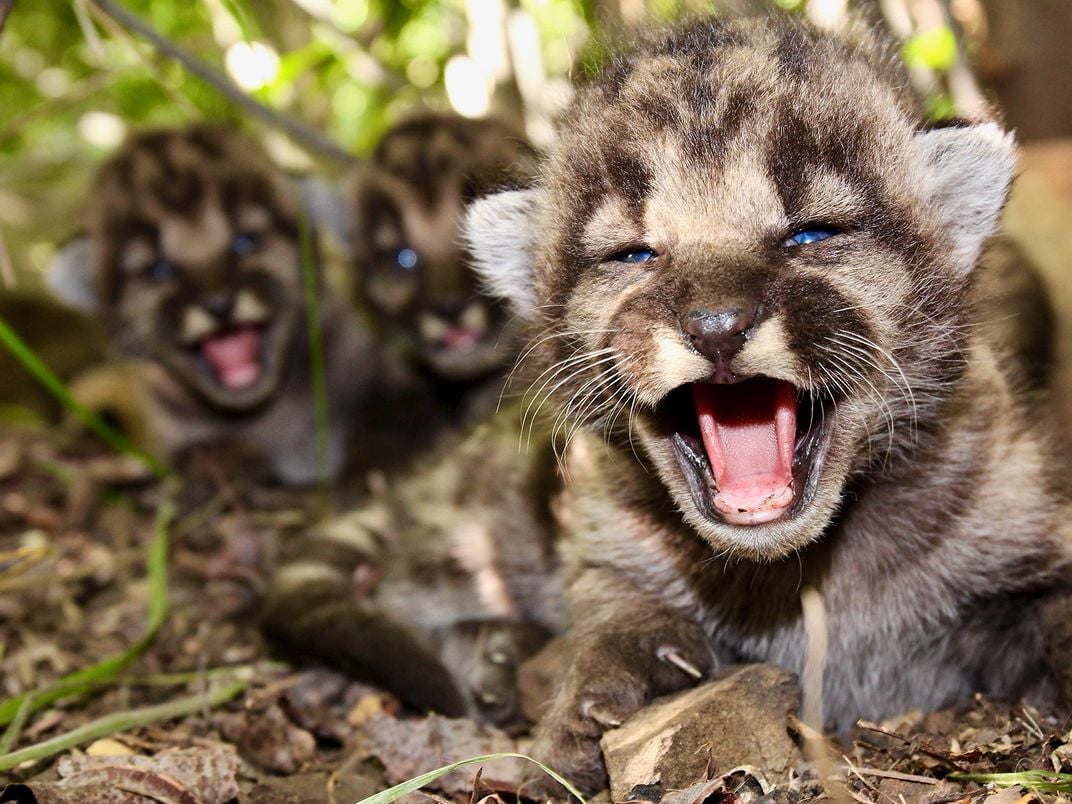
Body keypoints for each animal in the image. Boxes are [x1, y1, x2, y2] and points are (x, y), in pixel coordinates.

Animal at [463, 14, 1072, 793]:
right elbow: (613, 612)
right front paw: (593, 707)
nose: (717, 325)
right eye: (634, 255)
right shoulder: (608, 555)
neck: (797, 576)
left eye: (811, 233)